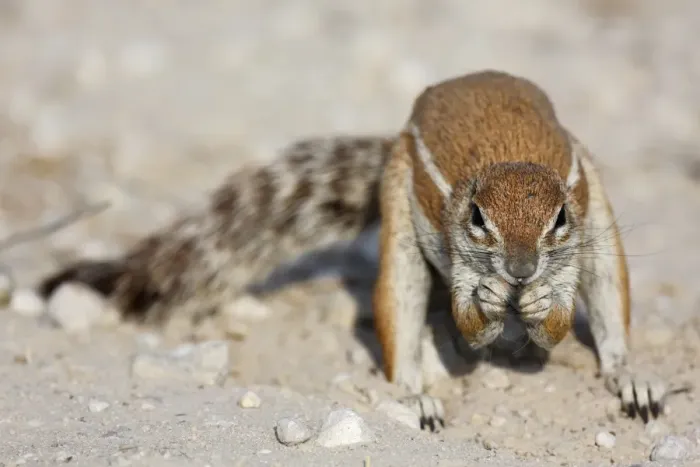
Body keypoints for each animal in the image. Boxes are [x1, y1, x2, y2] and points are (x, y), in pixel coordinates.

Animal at [37, 70, 667, 430]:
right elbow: (468, 323)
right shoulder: (458, 258)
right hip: (398, 221)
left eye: (558, 218)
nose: (519, 270)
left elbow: (558, 322)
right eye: (477, 219)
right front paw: (489, 307)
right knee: (402, 310)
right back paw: (416, 398)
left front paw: (537, 310)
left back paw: (631, 378)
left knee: (610, 304)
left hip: (602, 217)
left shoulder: (572, 246)